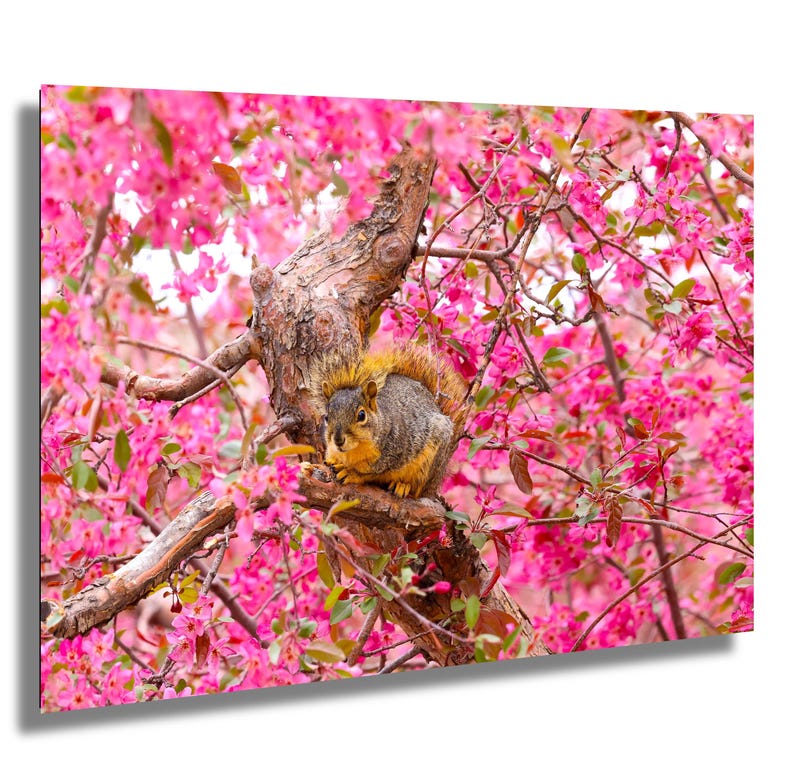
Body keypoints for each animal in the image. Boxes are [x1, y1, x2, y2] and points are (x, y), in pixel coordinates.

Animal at [309, 344, 470, 499]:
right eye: (326, 417)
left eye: (361, 415)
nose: (338, 440)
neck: (353, 451)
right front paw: (332, 461)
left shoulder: (395, 455)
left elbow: (370, 473)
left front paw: (351, 473)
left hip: (429, 465)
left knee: (417, 489)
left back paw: (403, 485)